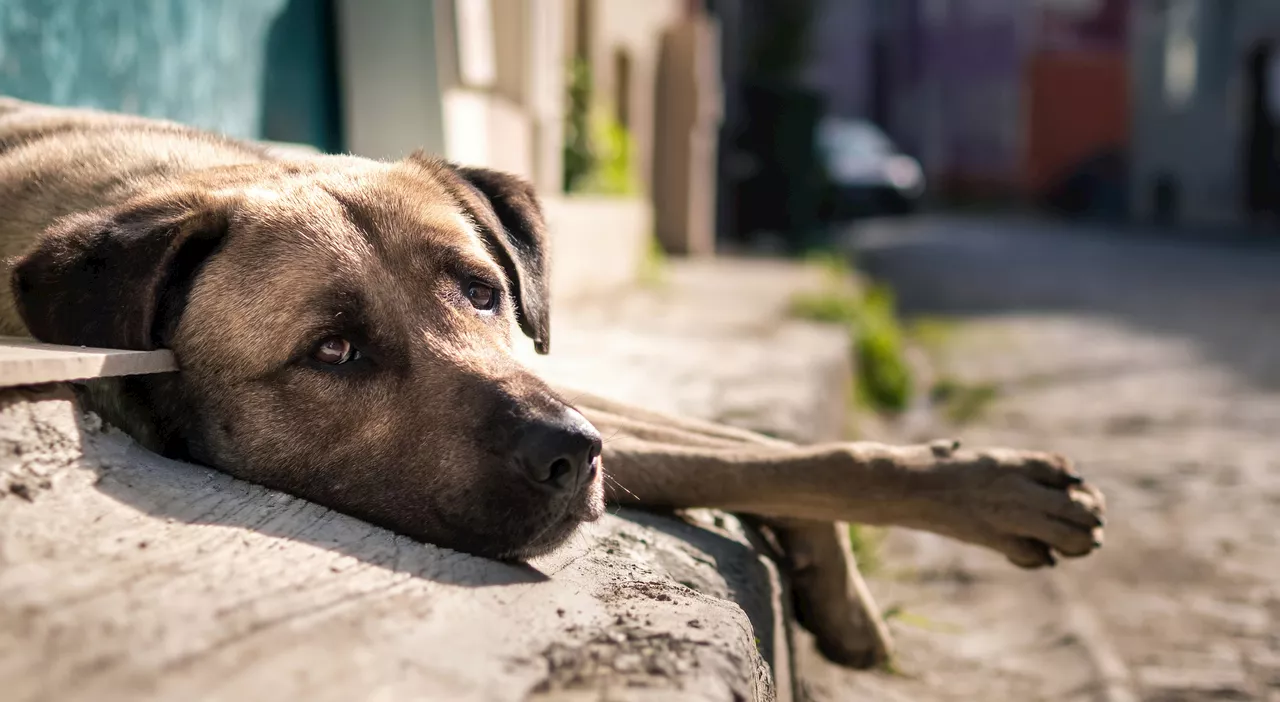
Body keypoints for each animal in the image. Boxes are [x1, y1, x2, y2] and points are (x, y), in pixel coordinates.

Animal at [0, 98, 1100, 671]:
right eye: (333, 351)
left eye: (483, 291)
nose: (573, 456)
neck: (152, 184)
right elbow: (759, 457)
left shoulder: (557, 380)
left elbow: (765, 450)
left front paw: (949, 506)